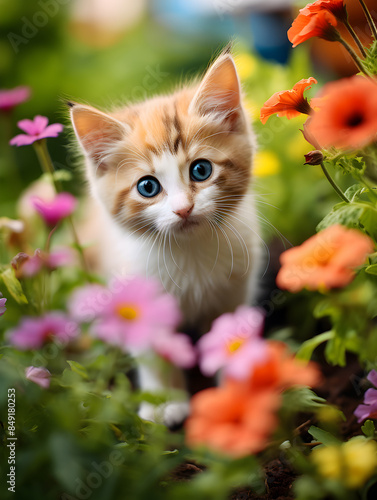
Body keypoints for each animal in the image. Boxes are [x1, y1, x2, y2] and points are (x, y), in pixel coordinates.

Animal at [68, 50, 262, 426]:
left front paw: (235, 392)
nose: (183, 209)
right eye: (148, 187)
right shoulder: (138, 293)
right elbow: (152, 353)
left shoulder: (236, 287)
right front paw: (162, 404)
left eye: (201, 170)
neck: (190, 252)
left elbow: (228, 338)